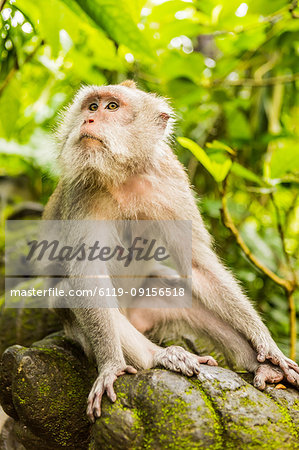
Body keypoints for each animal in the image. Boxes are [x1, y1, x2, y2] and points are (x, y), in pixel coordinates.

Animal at [44, 80, 299, 422]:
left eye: (112, 107)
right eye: (92, 106)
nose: (89, 120)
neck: (125, 174)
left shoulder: (171, 182)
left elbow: (198, 266)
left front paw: (268, 345)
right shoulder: (80, 190)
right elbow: (87, 277)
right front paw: (111, 365)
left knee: (185, 293)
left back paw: (259, 365)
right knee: (74, 294)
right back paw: (161, 356)